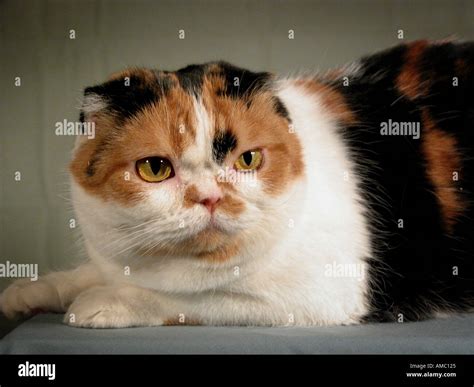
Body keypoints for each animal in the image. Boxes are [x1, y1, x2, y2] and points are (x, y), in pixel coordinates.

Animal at [0, 40, 474, 328]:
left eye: (248, 159)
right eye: (154, 168)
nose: (210, 197)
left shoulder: (323, 294)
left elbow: (195, 299)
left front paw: (109, 301)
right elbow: (88, 272)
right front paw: (28, 292)